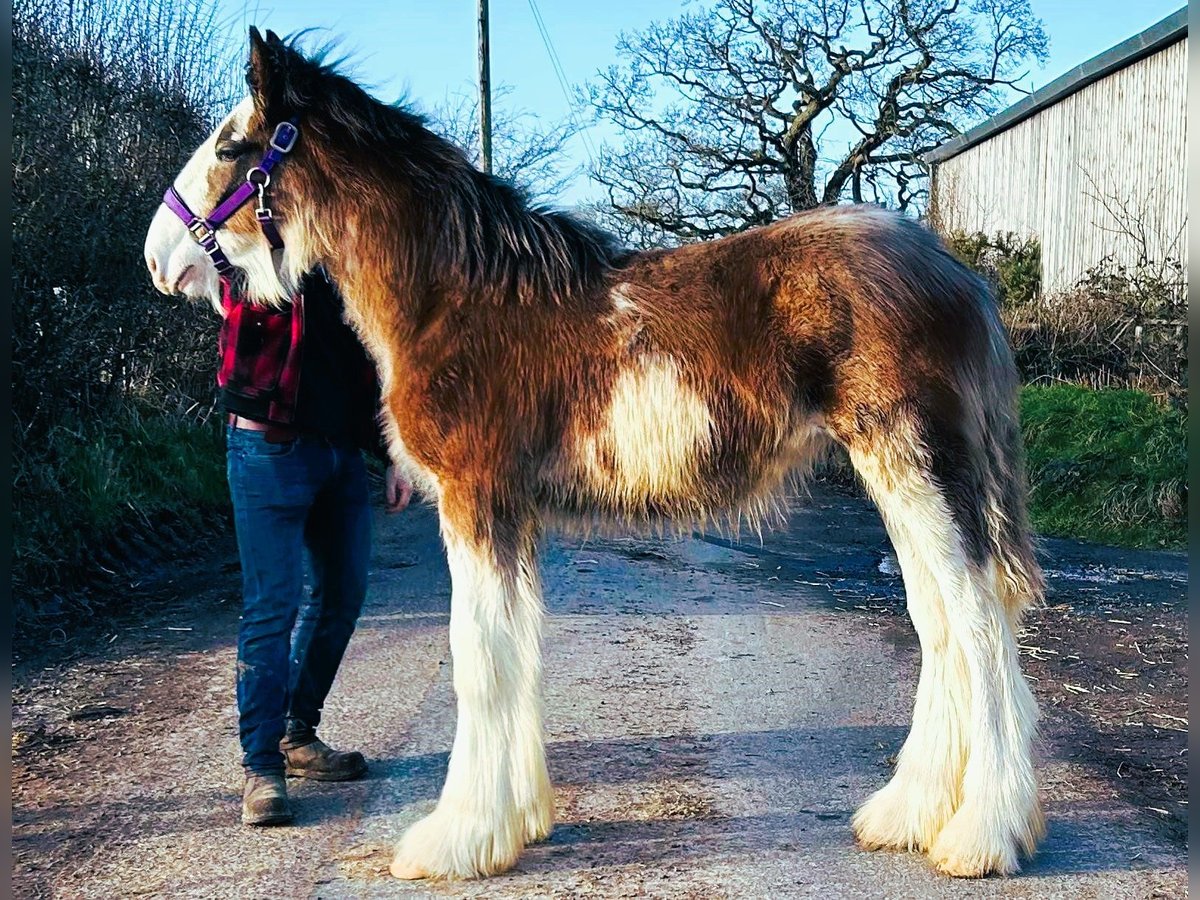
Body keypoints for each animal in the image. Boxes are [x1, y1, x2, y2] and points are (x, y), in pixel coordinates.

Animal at [147, 31, 1051, 883]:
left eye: (230, 146)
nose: (160, 258)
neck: (455, 296)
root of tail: (956, 274)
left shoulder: (476, 502)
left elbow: (477, 660)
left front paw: (456, 839)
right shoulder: (511, 515)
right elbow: (516, 651)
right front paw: (514, 822)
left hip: (918, 469)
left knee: (976, 626)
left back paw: (983, 835)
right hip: (898, 478)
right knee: (938, 624)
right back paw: (909, 813)